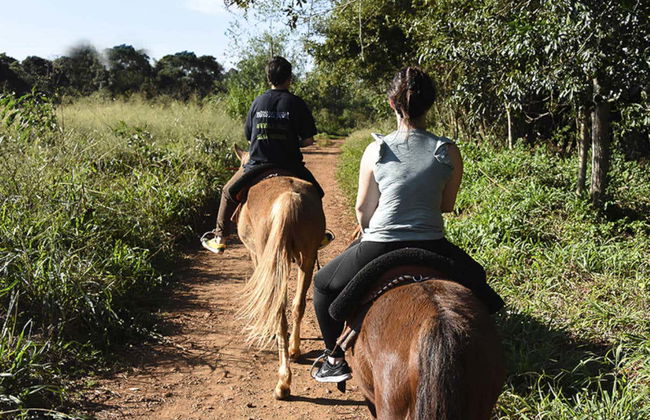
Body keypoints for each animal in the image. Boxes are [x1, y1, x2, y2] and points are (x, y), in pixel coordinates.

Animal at [233, 145, 326, 400]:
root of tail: (288, 200)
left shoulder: (257, 256)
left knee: (279, 310)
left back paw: (283, 382)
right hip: (308, 257)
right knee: (297, 304)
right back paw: (294, 349)